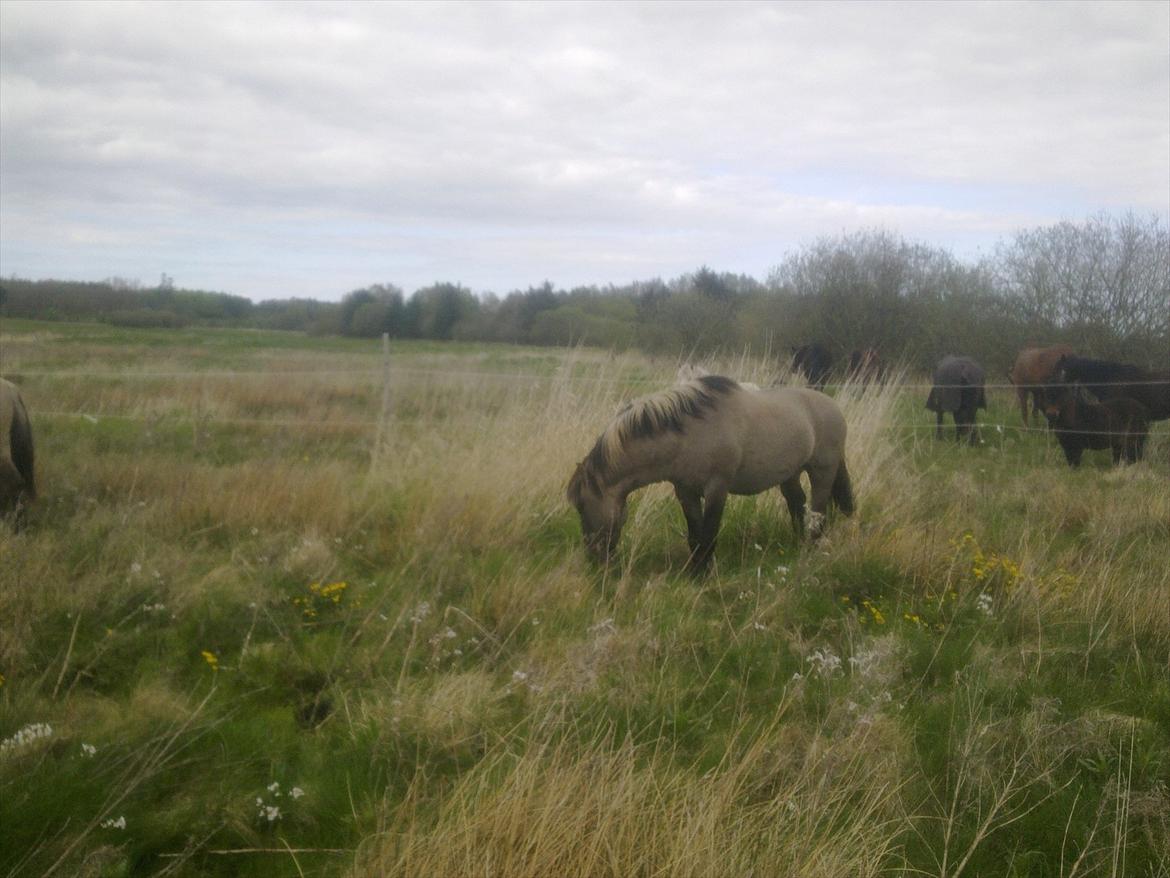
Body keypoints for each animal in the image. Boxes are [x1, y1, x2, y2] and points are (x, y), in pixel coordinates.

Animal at [566, 374, 851, 573]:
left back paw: (810, 549)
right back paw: (797, 543)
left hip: (823, 471)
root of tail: (834, 406)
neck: (689, 433)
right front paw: (694, 572)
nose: (594, 557)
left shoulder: (717, 488)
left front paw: (702, 574)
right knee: (797, 504)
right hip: (789, 475)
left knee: (817, 513)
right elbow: (695, 535)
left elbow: (708, 535)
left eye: (581, 506)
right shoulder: (685, 491)